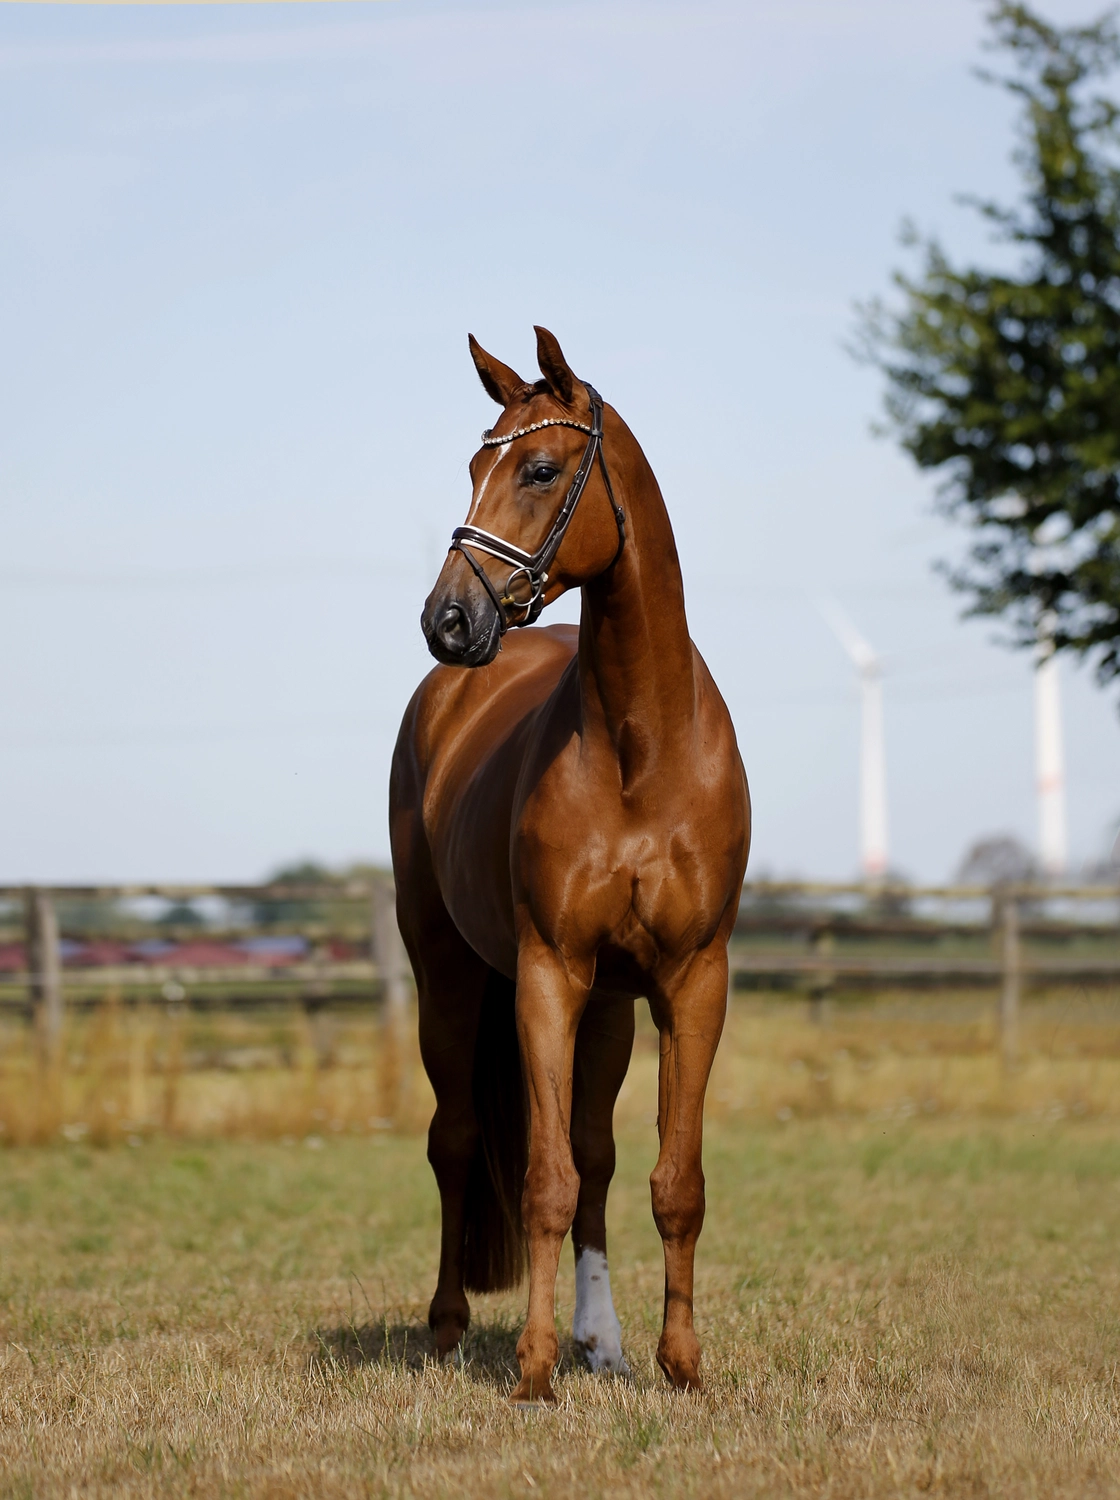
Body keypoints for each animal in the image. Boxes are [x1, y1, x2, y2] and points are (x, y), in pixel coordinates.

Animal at [389, 327, 750, 1404]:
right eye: (473, 467)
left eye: (541, 469)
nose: (447, 620)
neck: (641, 744)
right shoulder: (547, 973)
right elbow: (542, 1178)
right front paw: (534, 1368)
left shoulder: (690, 980)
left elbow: (672, 1181)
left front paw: (680, 1364)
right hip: (450, 972)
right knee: (459, 1142)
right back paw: (449, 1328)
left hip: (609, 1005)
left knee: (595, 1154)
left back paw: (606, 1339)